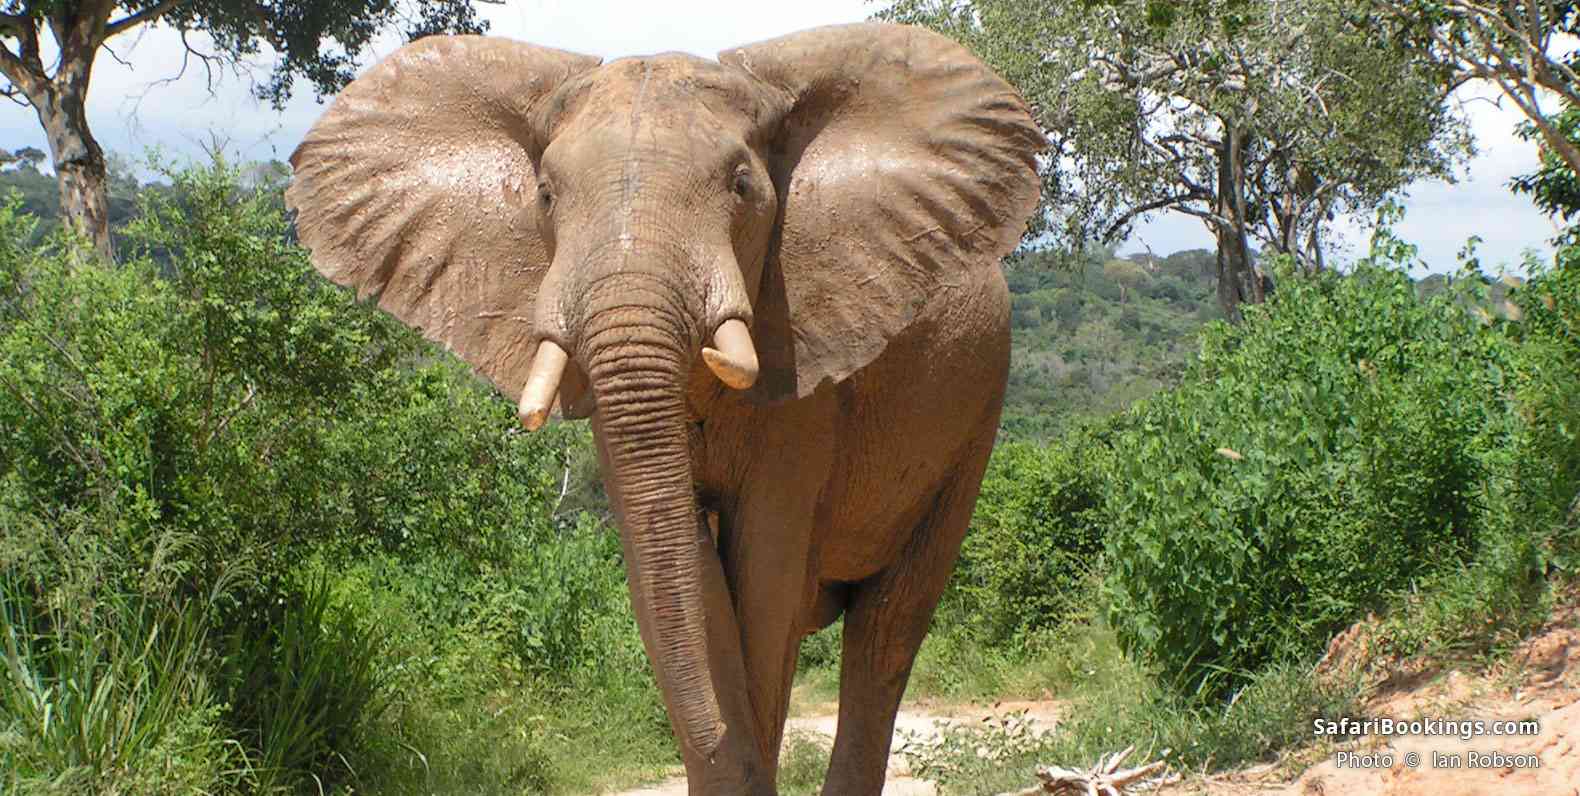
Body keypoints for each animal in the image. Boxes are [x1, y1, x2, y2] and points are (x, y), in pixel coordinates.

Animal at [284, 21, 1043, 795]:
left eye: (743, 187)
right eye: (546, 195)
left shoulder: (803, 365)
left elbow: (763, 579)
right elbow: (686, 582)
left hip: (976, 416)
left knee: (886, 631)